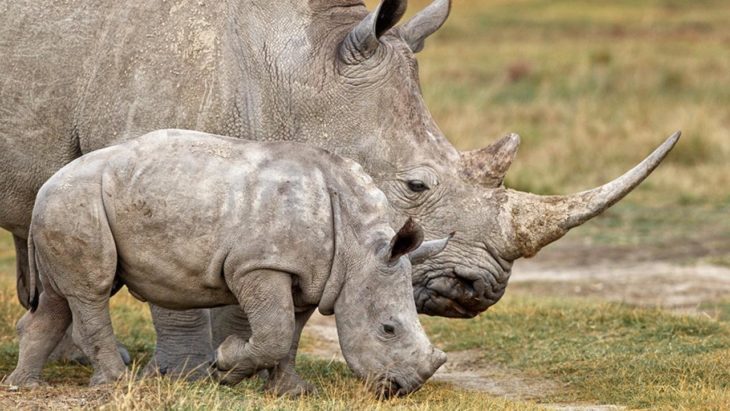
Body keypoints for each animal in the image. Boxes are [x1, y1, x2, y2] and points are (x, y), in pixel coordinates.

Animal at [7, 130, 450, 396]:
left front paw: (292, 391)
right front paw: (225, 366)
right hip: (75, 200)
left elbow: (290, 333)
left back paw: (24, 386)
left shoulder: (312, 274)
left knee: (59, 298)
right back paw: (117, 383)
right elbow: (274, 332)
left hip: (67, 204)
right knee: (93, 290)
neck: (358, 248)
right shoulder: (258, 264)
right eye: (388, 329)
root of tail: (47, 183)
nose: (403, 387)